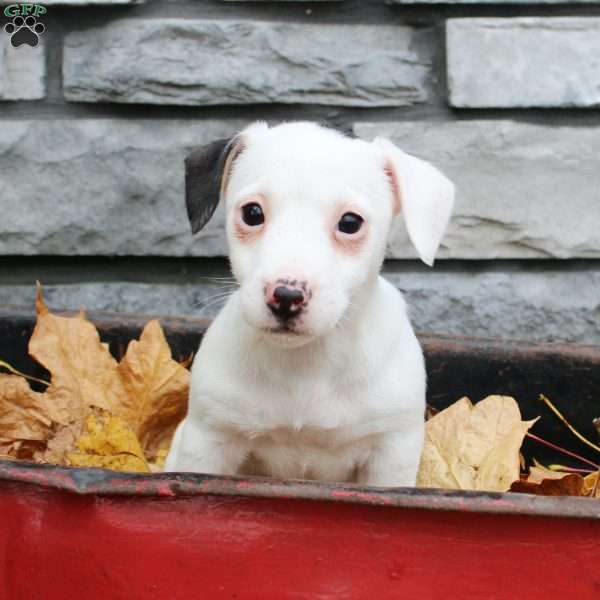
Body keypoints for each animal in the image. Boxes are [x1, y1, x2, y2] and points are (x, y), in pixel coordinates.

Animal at [164, 122, 454, 488]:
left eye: (350, 222)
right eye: (252, 213)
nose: (287, 297)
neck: (306, 363)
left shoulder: (390, 454)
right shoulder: (208, 442)